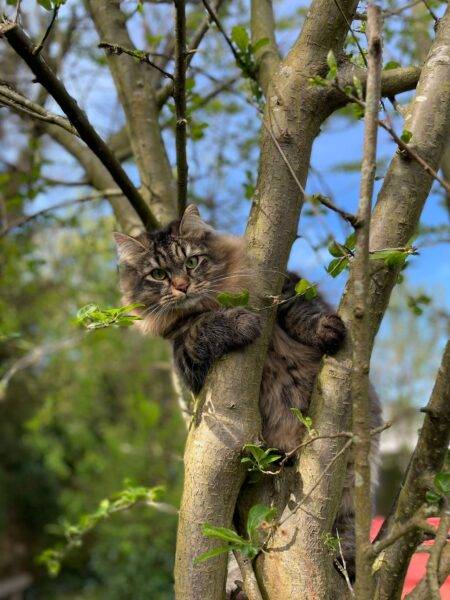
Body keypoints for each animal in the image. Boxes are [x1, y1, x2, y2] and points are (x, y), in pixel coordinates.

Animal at [114, 204, 382, 580]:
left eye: (192, 262)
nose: (182, 286)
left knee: (346, 524)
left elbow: (303, 313)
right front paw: (240, 323)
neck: (208, 304)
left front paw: (324, 330)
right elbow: (203, 329)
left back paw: (348, 562)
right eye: (158, 274)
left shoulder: (284, 287)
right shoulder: (186, 358)